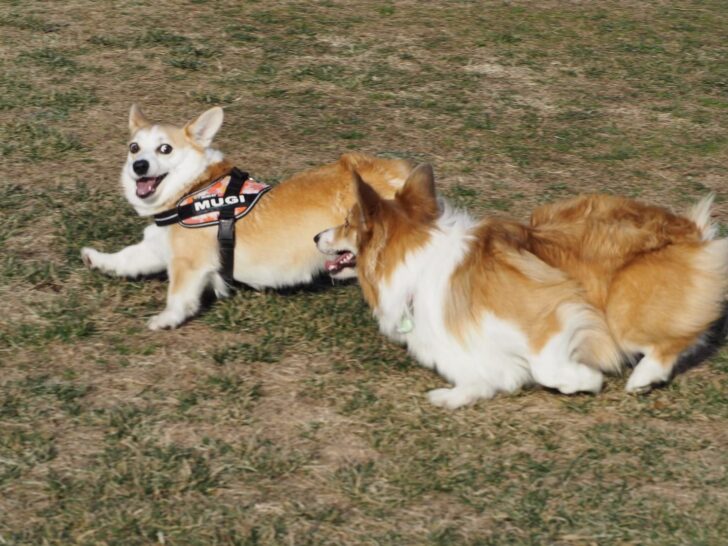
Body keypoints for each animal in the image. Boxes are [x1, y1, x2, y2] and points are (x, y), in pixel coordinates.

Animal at [81, 105, 412, 329]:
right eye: (134, 147)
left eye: (165, 149)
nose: (138, 166)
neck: (193, 189)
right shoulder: (156, 249)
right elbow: (126, 259)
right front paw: (95, 258)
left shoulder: (189, 263)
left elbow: (178, 296)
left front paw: (165, 320)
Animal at [315, 164, 728, 408]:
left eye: (348, 221)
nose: (317, 236)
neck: (420, 262)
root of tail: (690, 229)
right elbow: (480, 379)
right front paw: (449, 396)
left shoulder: (554, 313)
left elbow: (547, 369)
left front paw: (587, 380)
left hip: (622, 311)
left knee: (677, 337)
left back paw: (643, 377)